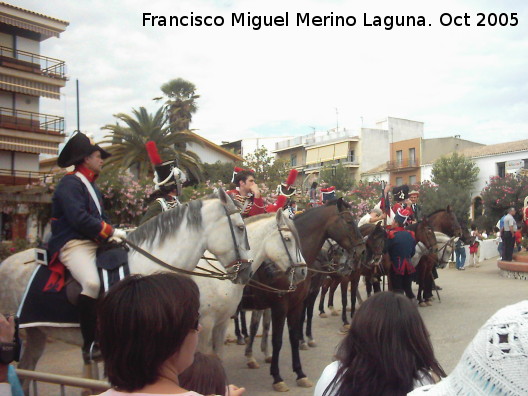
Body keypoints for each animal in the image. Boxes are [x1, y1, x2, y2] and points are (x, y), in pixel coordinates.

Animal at [240, 200, 368, 392]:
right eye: (348, 221)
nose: (361, 250)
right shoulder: (280, 306)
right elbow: (278, 340)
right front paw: (277, 377)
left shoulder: (297, 303)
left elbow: (293, 336)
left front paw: (300, 373)